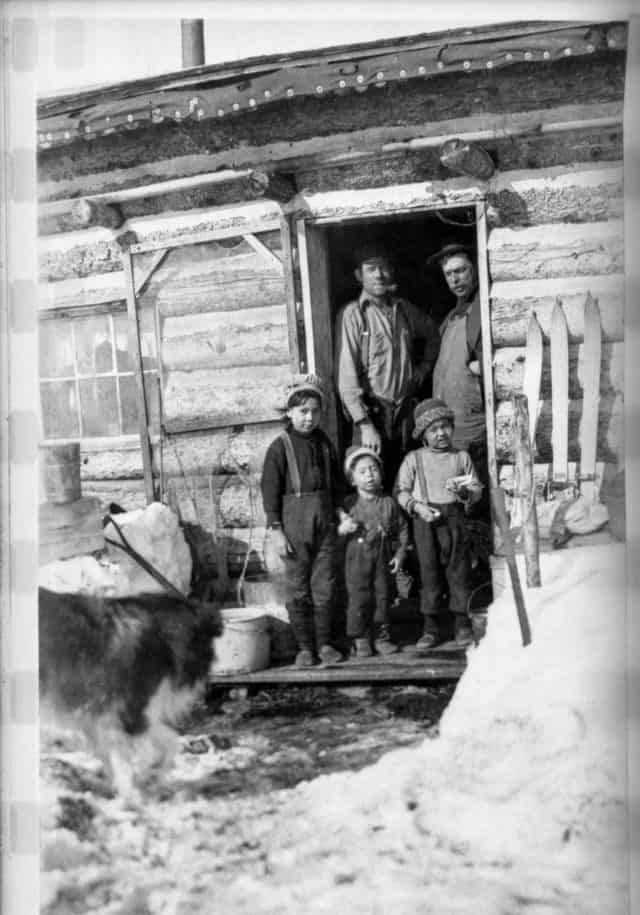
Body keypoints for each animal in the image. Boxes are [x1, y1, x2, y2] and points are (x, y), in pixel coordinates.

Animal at [38, 588, 222, 796]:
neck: (162, 634)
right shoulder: (129, 713)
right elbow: (137, 756)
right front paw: (135, 790)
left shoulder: (105, 717)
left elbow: (167, 742)